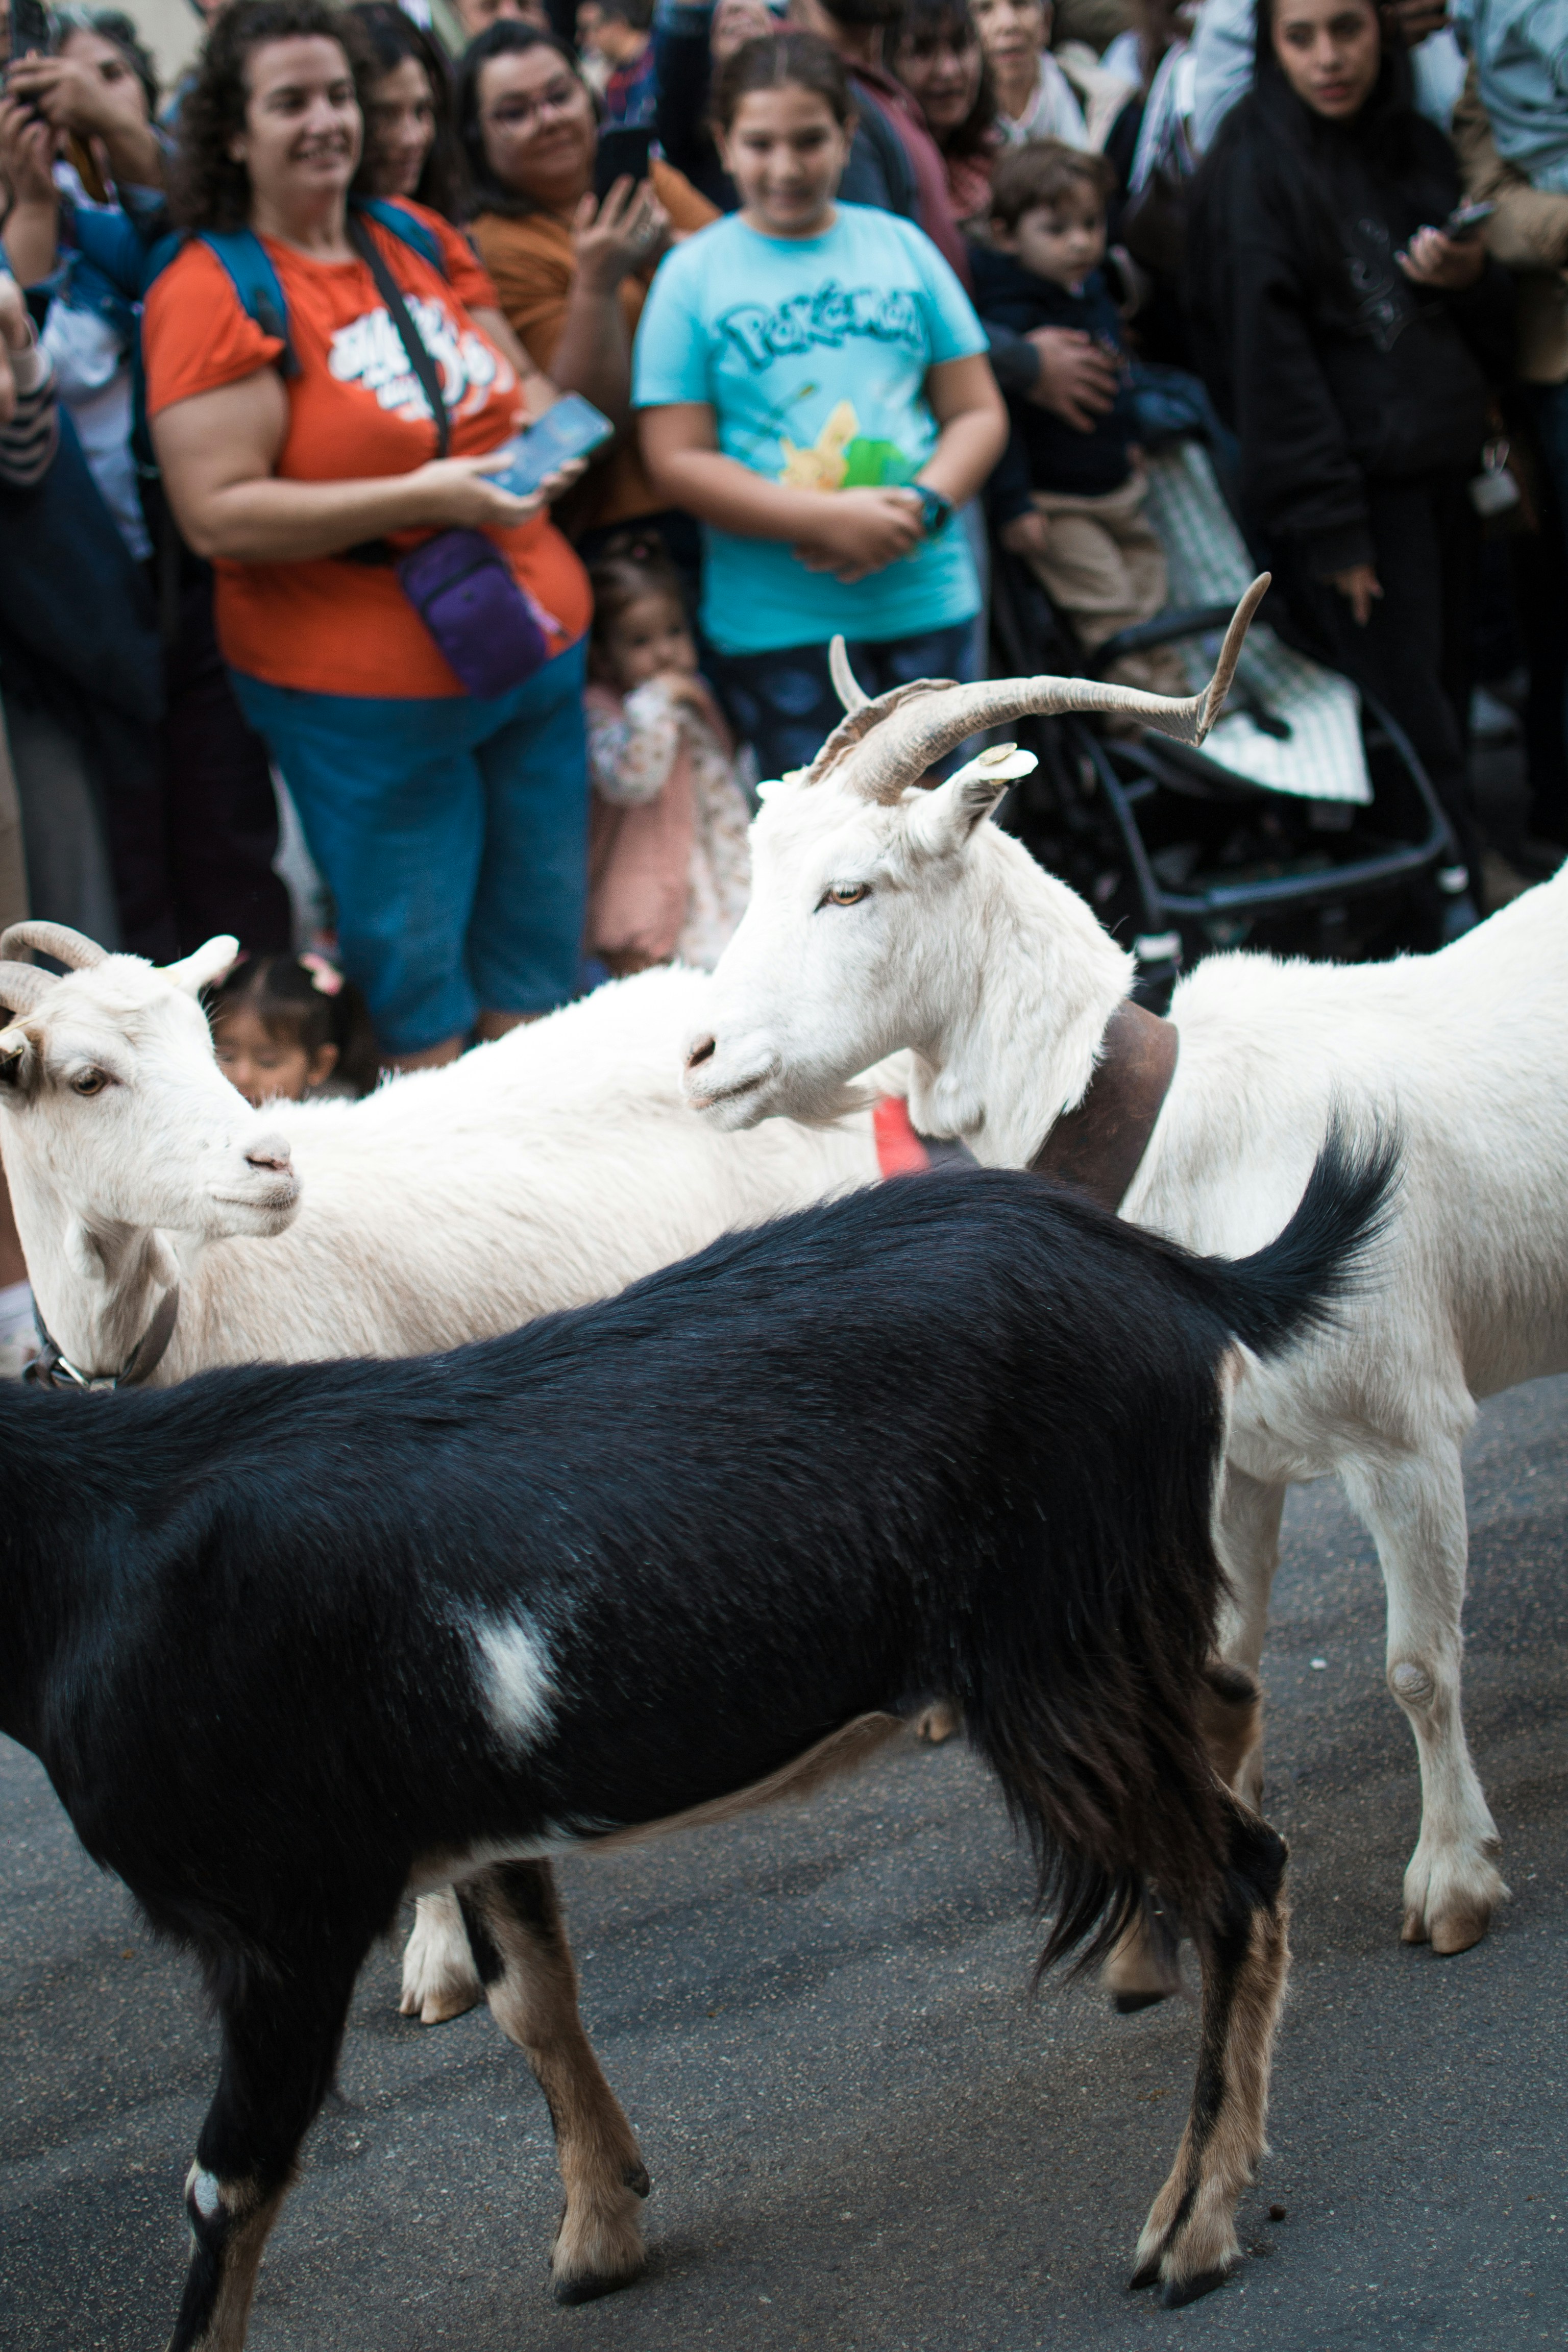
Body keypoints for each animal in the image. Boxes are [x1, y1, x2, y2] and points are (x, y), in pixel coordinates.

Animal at [0, 1142, 1392, 2346]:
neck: (86, 1547)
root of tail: (1163, 1268)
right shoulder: (473, 1816)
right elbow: (530, 1998)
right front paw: (600, 2233)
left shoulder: (279, 1916)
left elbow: (225, 2180)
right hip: (1112, 1628)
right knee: (1222, 1708)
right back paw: (1144, 1965)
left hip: (1057, 1649)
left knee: (1238, 1871)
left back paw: (1189, 2224)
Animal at [684, 581, 1568, 1971]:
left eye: (849, 890)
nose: (701, 1058)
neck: (1180, 1137)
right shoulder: (1232, 1454)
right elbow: (1221, 1658)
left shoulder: (1405, 1432)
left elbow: (1418, 1666)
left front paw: (1451, 1882)